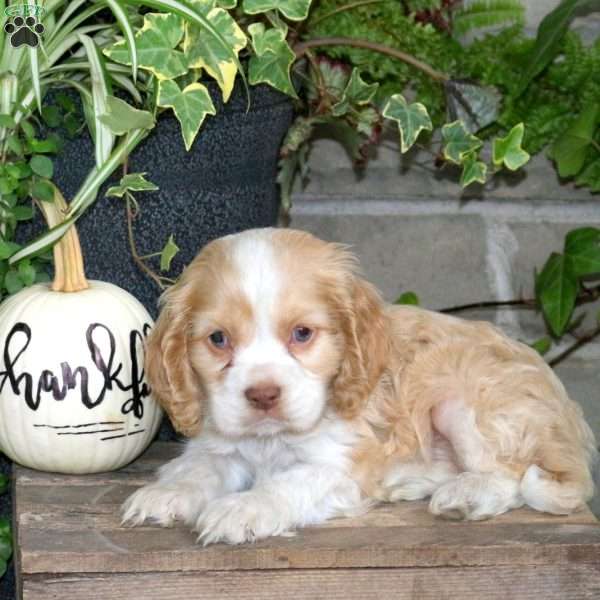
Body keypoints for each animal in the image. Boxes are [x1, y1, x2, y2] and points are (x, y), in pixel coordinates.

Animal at [122, 226, 596, 544]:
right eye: (218, 340)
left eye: (302, 334)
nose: (263, 395)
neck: (271, 441)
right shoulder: (223, 446)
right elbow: (198, 468)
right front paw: (165, 494)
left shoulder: (340, 466)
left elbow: (286, 482)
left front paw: (242, 507)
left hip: (464, 403)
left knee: (510, 474)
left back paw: (467, 494)